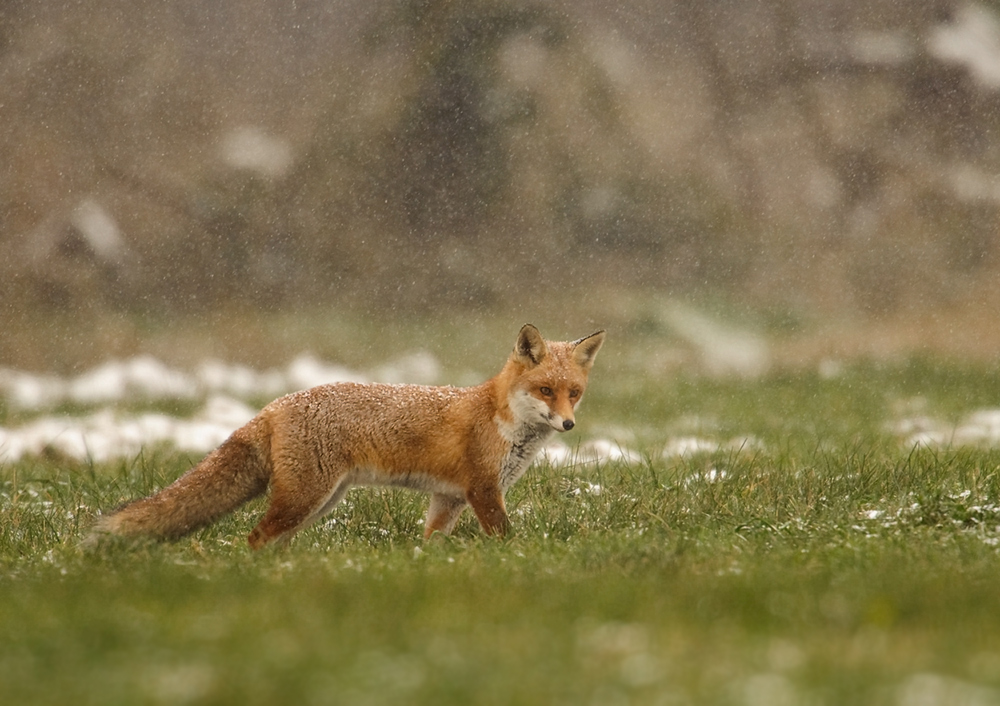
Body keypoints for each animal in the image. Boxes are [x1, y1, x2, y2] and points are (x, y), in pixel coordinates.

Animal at [90, 322, 604, 548]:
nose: (568, 424)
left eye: (574, 394)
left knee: (271, 538)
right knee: (255, 537)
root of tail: (275, 404)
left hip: (320, 500)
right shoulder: (482, 490)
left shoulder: (449, 498)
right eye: (545, 390)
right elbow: (506, 537)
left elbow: (431, 540)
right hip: (306, 497)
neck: (504, 422)